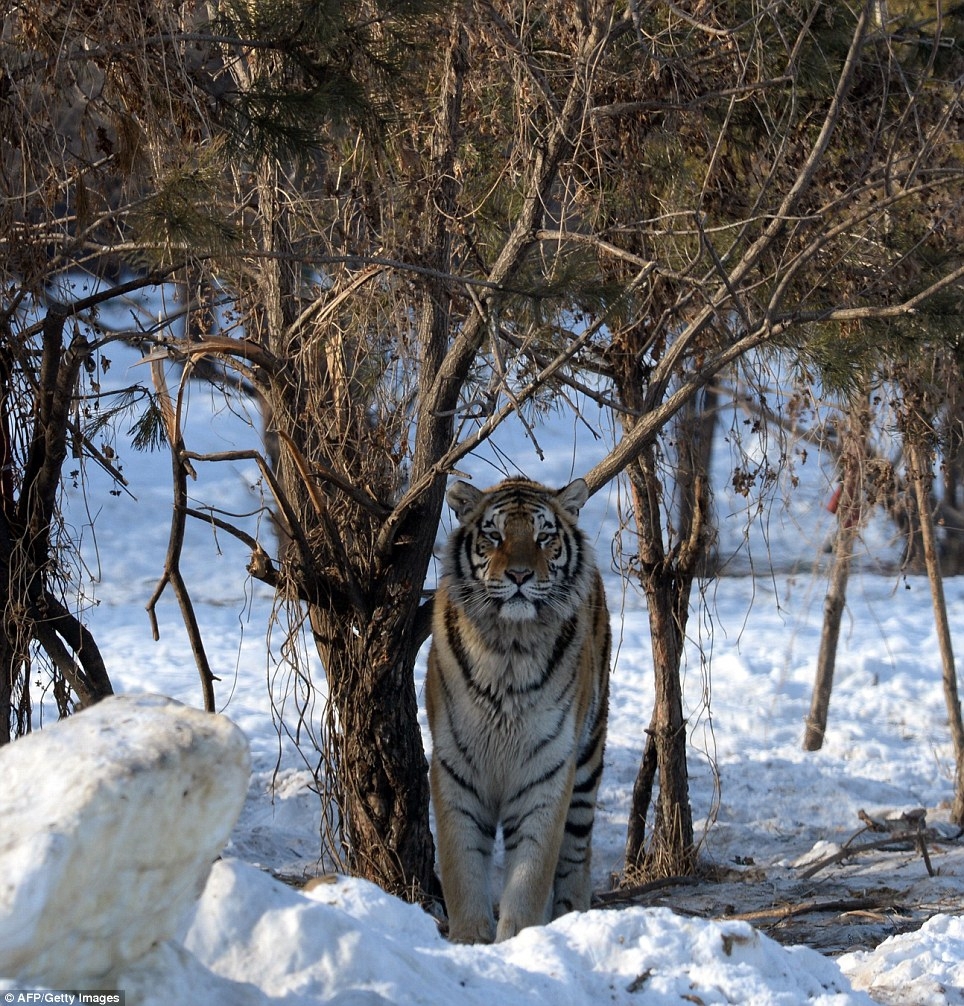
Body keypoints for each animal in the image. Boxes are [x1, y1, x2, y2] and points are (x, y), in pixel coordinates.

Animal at [428, 472, 611, 941]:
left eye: (544, 536)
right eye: (494, 535)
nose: (519, 575)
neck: (509, 648)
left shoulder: (546, 769)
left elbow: (531, 872)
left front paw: (518, 941)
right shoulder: (455, 766)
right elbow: (461, 865)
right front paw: (469, 940)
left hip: (588, 755)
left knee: (577, 850)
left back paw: (572, 916)